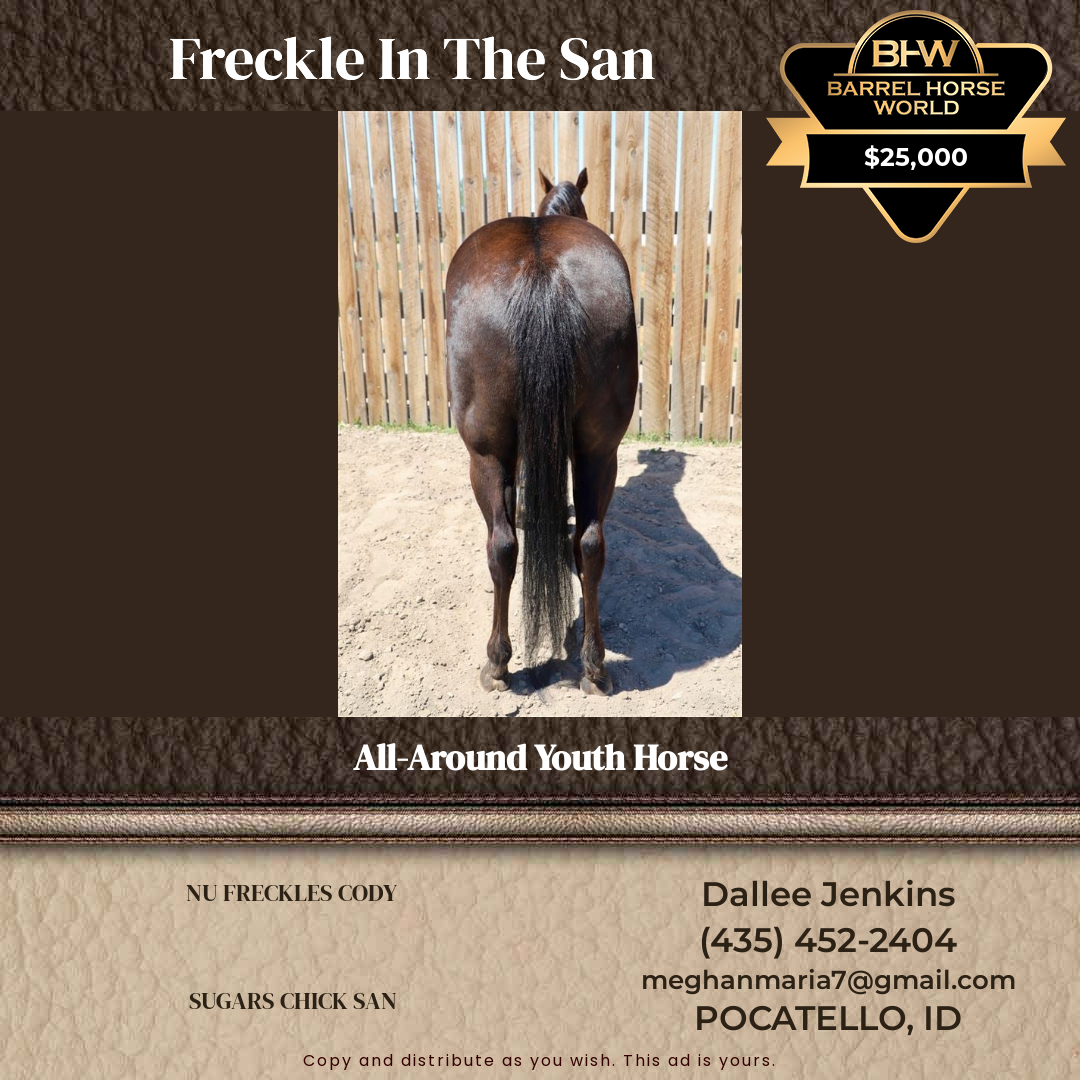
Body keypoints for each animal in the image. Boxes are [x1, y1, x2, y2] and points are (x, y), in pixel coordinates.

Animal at [445, 168, 638, 696]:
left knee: (502, 547)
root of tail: (541, 268)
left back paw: (497, 664)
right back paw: (594, 667)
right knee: (590, 545)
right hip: (600, 452)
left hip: (485, 455)